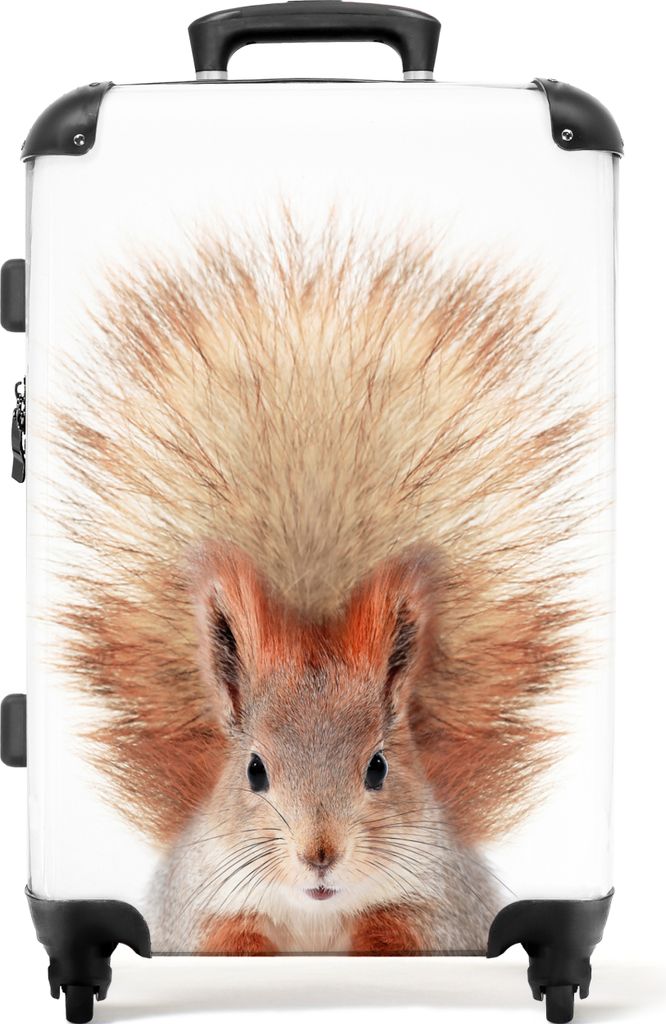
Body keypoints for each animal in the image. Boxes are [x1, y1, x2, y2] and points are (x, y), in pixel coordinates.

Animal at [53, 217, 593, 954]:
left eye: (379, 768)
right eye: (253, 770)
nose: (320, 853)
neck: (315, 913)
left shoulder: (437, 909)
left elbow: (398, 936)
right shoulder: (206, 910)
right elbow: (229, 940)